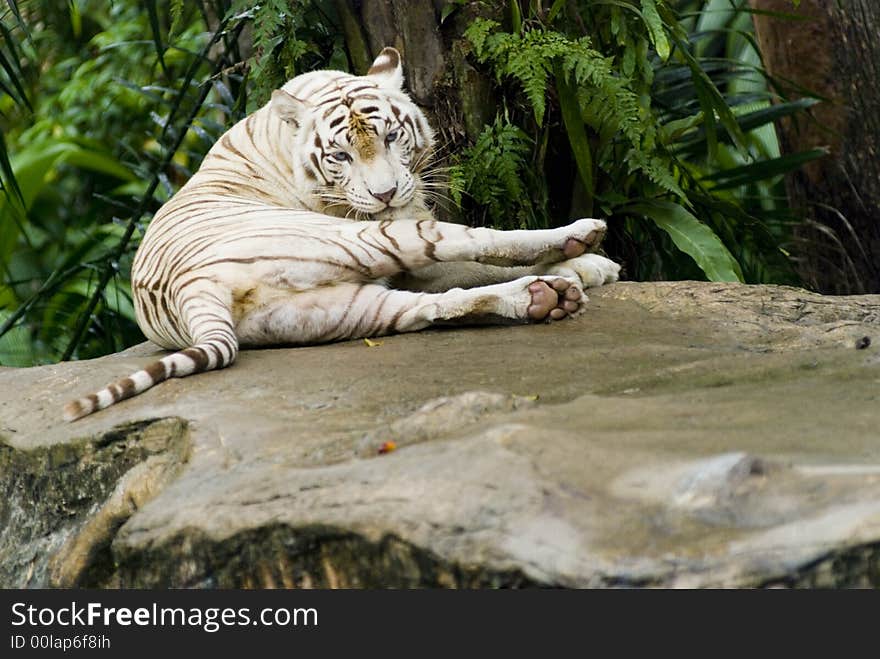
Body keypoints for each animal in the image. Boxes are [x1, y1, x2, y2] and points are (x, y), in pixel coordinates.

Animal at [63, 47, 620, 422]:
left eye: (392, 136)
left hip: (345, 310)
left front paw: (580, 270)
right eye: (341, 155)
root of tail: (190, 292)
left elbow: (457, 276)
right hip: (364, 243)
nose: (386, 194)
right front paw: (586, 259)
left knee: (432, 308)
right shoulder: (394, 234)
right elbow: (470, 254)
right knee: (472, 240)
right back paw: (581, 241)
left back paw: (547, 297)